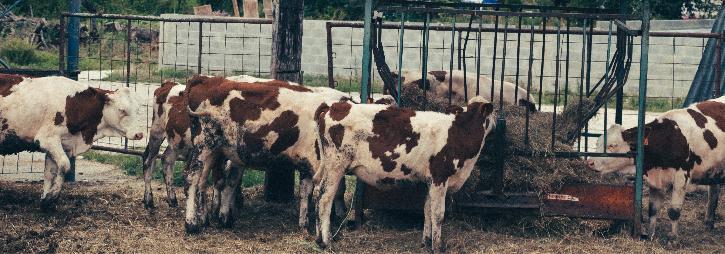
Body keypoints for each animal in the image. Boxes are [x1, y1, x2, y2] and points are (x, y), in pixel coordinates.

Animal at [0, 73, 144, 208]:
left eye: (138, 109)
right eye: (122, 110)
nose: (139, 134)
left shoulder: (62, 144)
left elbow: (50, 173)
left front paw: (45, 200)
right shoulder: (47, 139)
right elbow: (65, 165)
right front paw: (52, 197)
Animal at [314, 95, 494, 252]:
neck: (461, 132)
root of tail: (333, 106)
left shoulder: (430, 181)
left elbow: (427, 209)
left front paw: (426, 241)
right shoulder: (439, 178)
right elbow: (438, 214)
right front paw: (437, 247)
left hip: (327, 165)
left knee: (317, 192)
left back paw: (317, 238)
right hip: (336, 165)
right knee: (324, 199)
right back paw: (326, 241)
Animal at [588, 96, 724, 239]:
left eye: (612, 145)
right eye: (597, 143)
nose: (590, 162)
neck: (671, 138)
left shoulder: (682, 177)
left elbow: (674, 211)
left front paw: (672, 237)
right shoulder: (655, 180)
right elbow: (652, 210)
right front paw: (650, 235)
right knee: (713, 192)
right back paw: (709, 222)